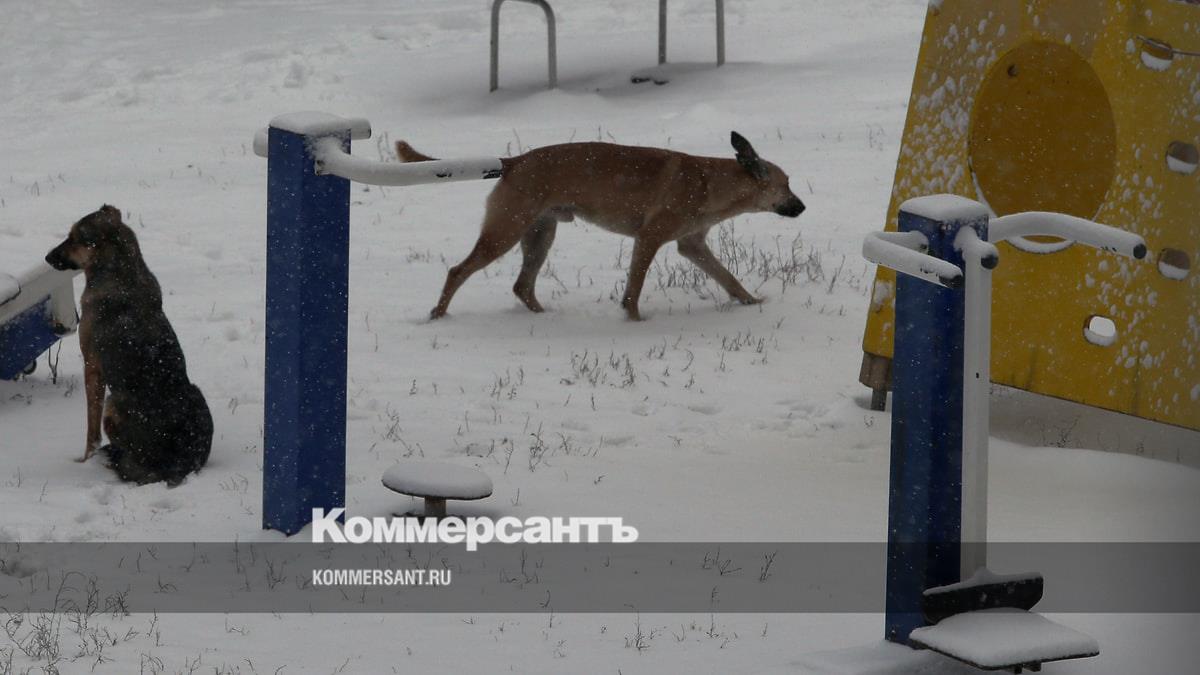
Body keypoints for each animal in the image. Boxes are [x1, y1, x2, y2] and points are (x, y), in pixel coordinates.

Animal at [45, 205, 212, 486]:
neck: (121, 269)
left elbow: (91, 429)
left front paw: (85, 461)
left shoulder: (92, 366)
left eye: (74, 238)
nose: (47, 257)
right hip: (196, 392)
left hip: (113, 404)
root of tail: (176, 463)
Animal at [396, 132, 805, 321]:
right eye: (785, 184)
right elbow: (634, 288)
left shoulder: (692, 245)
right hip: (504, 233)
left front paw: (752, 302)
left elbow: (728, 278)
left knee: (522, 285)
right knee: (457, 271)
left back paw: (543, 316)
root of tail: (514, 162)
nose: (801, 207)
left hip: (539, 235)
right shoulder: (649, 238)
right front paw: (635, 320)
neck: (710, 182)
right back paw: (438, 315)